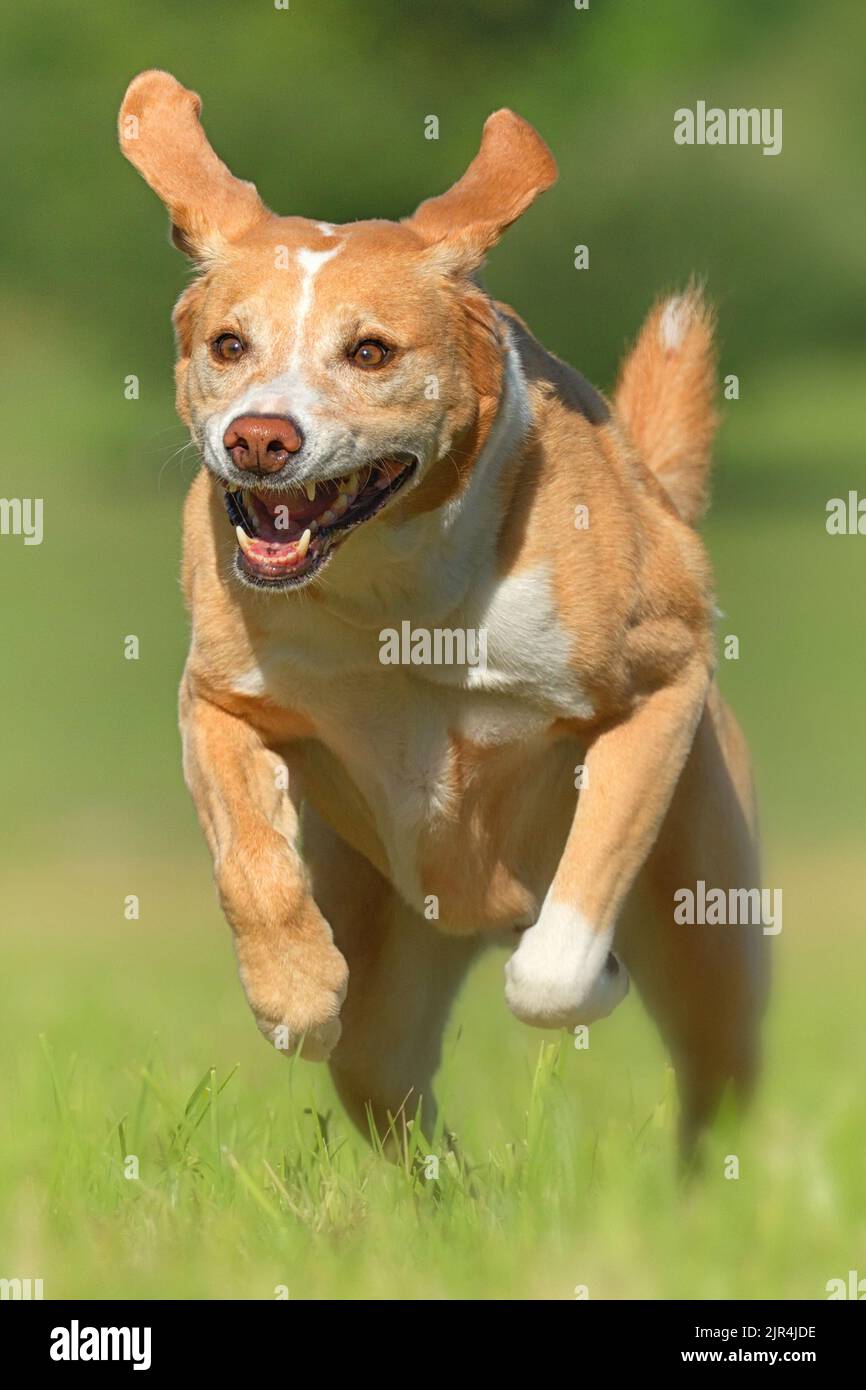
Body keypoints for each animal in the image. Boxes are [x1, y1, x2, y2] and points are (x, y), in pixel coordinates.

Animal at [118, 73, 767, 1150]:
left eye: (371, 351)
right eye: (228, 344)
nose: (258, 438)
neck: (397, 594)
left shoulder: (660, 685)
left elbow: (560, 953)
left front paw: (587, 976)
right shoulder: (219, 699)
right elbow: (252, 866)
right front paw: (295, 991)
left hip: (709, 924)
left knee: (720, 1081)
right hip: (390, 987)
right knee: (390, 1088)